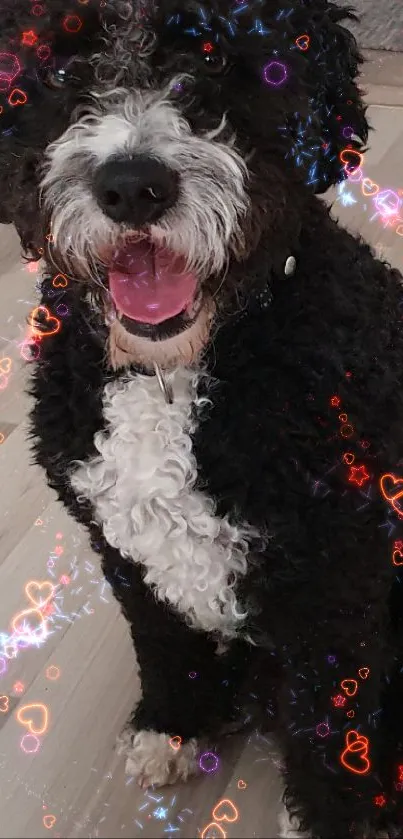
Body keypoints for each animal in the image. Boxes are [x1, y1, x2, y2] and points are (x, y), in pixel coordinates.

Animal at [0, 0, 403, 836]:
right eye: (61, 65)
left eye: (215, 58)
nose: (131, 186)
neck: (170, 374)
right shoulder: (120, 547)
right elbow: (161, 639)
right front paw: (172, 724)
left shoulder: (336, 578)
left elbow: (329, 725)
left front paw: (330, 815)